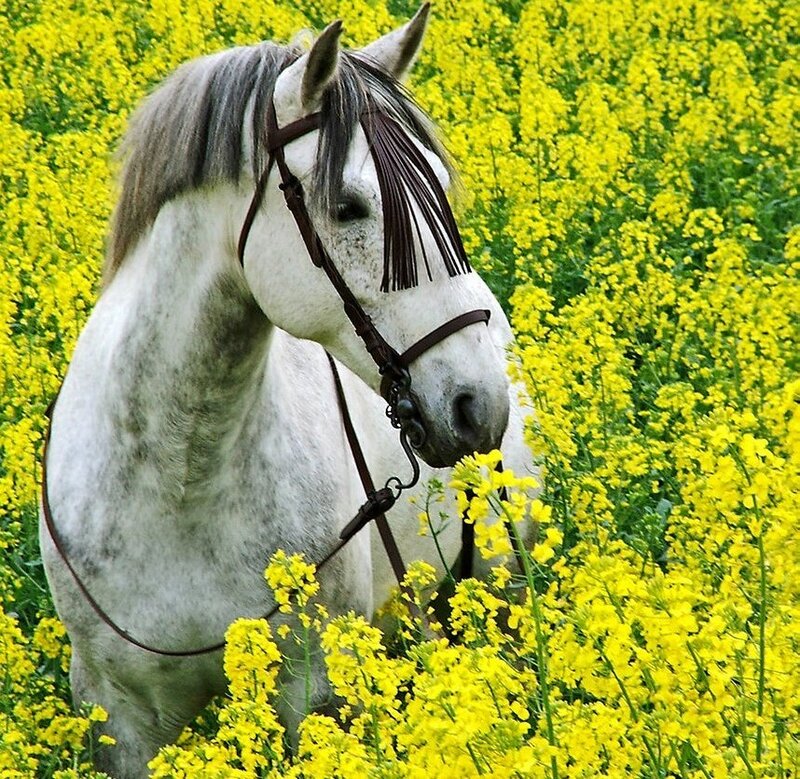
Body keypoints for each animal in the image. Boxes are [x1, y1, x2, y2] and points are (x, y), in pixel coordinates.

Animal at [40, 6, 533, 777]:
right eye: (349, 206)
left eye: (438, 189)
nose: (477, 405)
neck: (179, 480)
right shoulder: (119, 715)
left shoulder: (316, 694)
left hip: (499, 591)